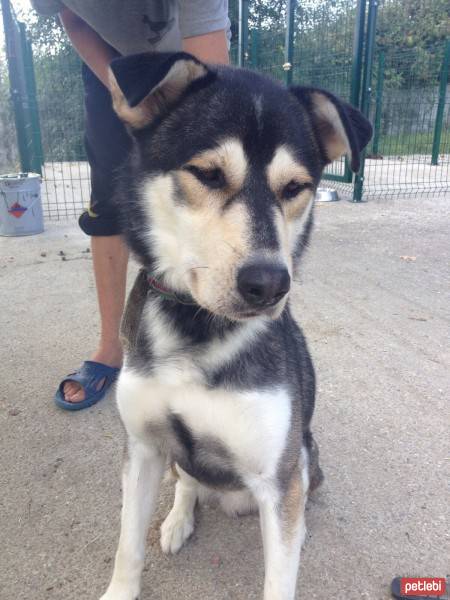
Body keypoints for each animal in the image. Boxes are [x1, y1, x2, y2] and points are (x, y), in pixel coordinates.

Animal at [100, 52, 370, 600]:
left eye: (295, 188)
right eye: (207, 173)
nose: (269, 284)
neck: (196, 328)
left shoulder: (277, 477)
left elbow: (279, 575)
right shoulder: (142, 449)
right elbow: (127, 546)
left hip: (304, 454)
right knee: (187, 479)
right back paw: (178, 519)